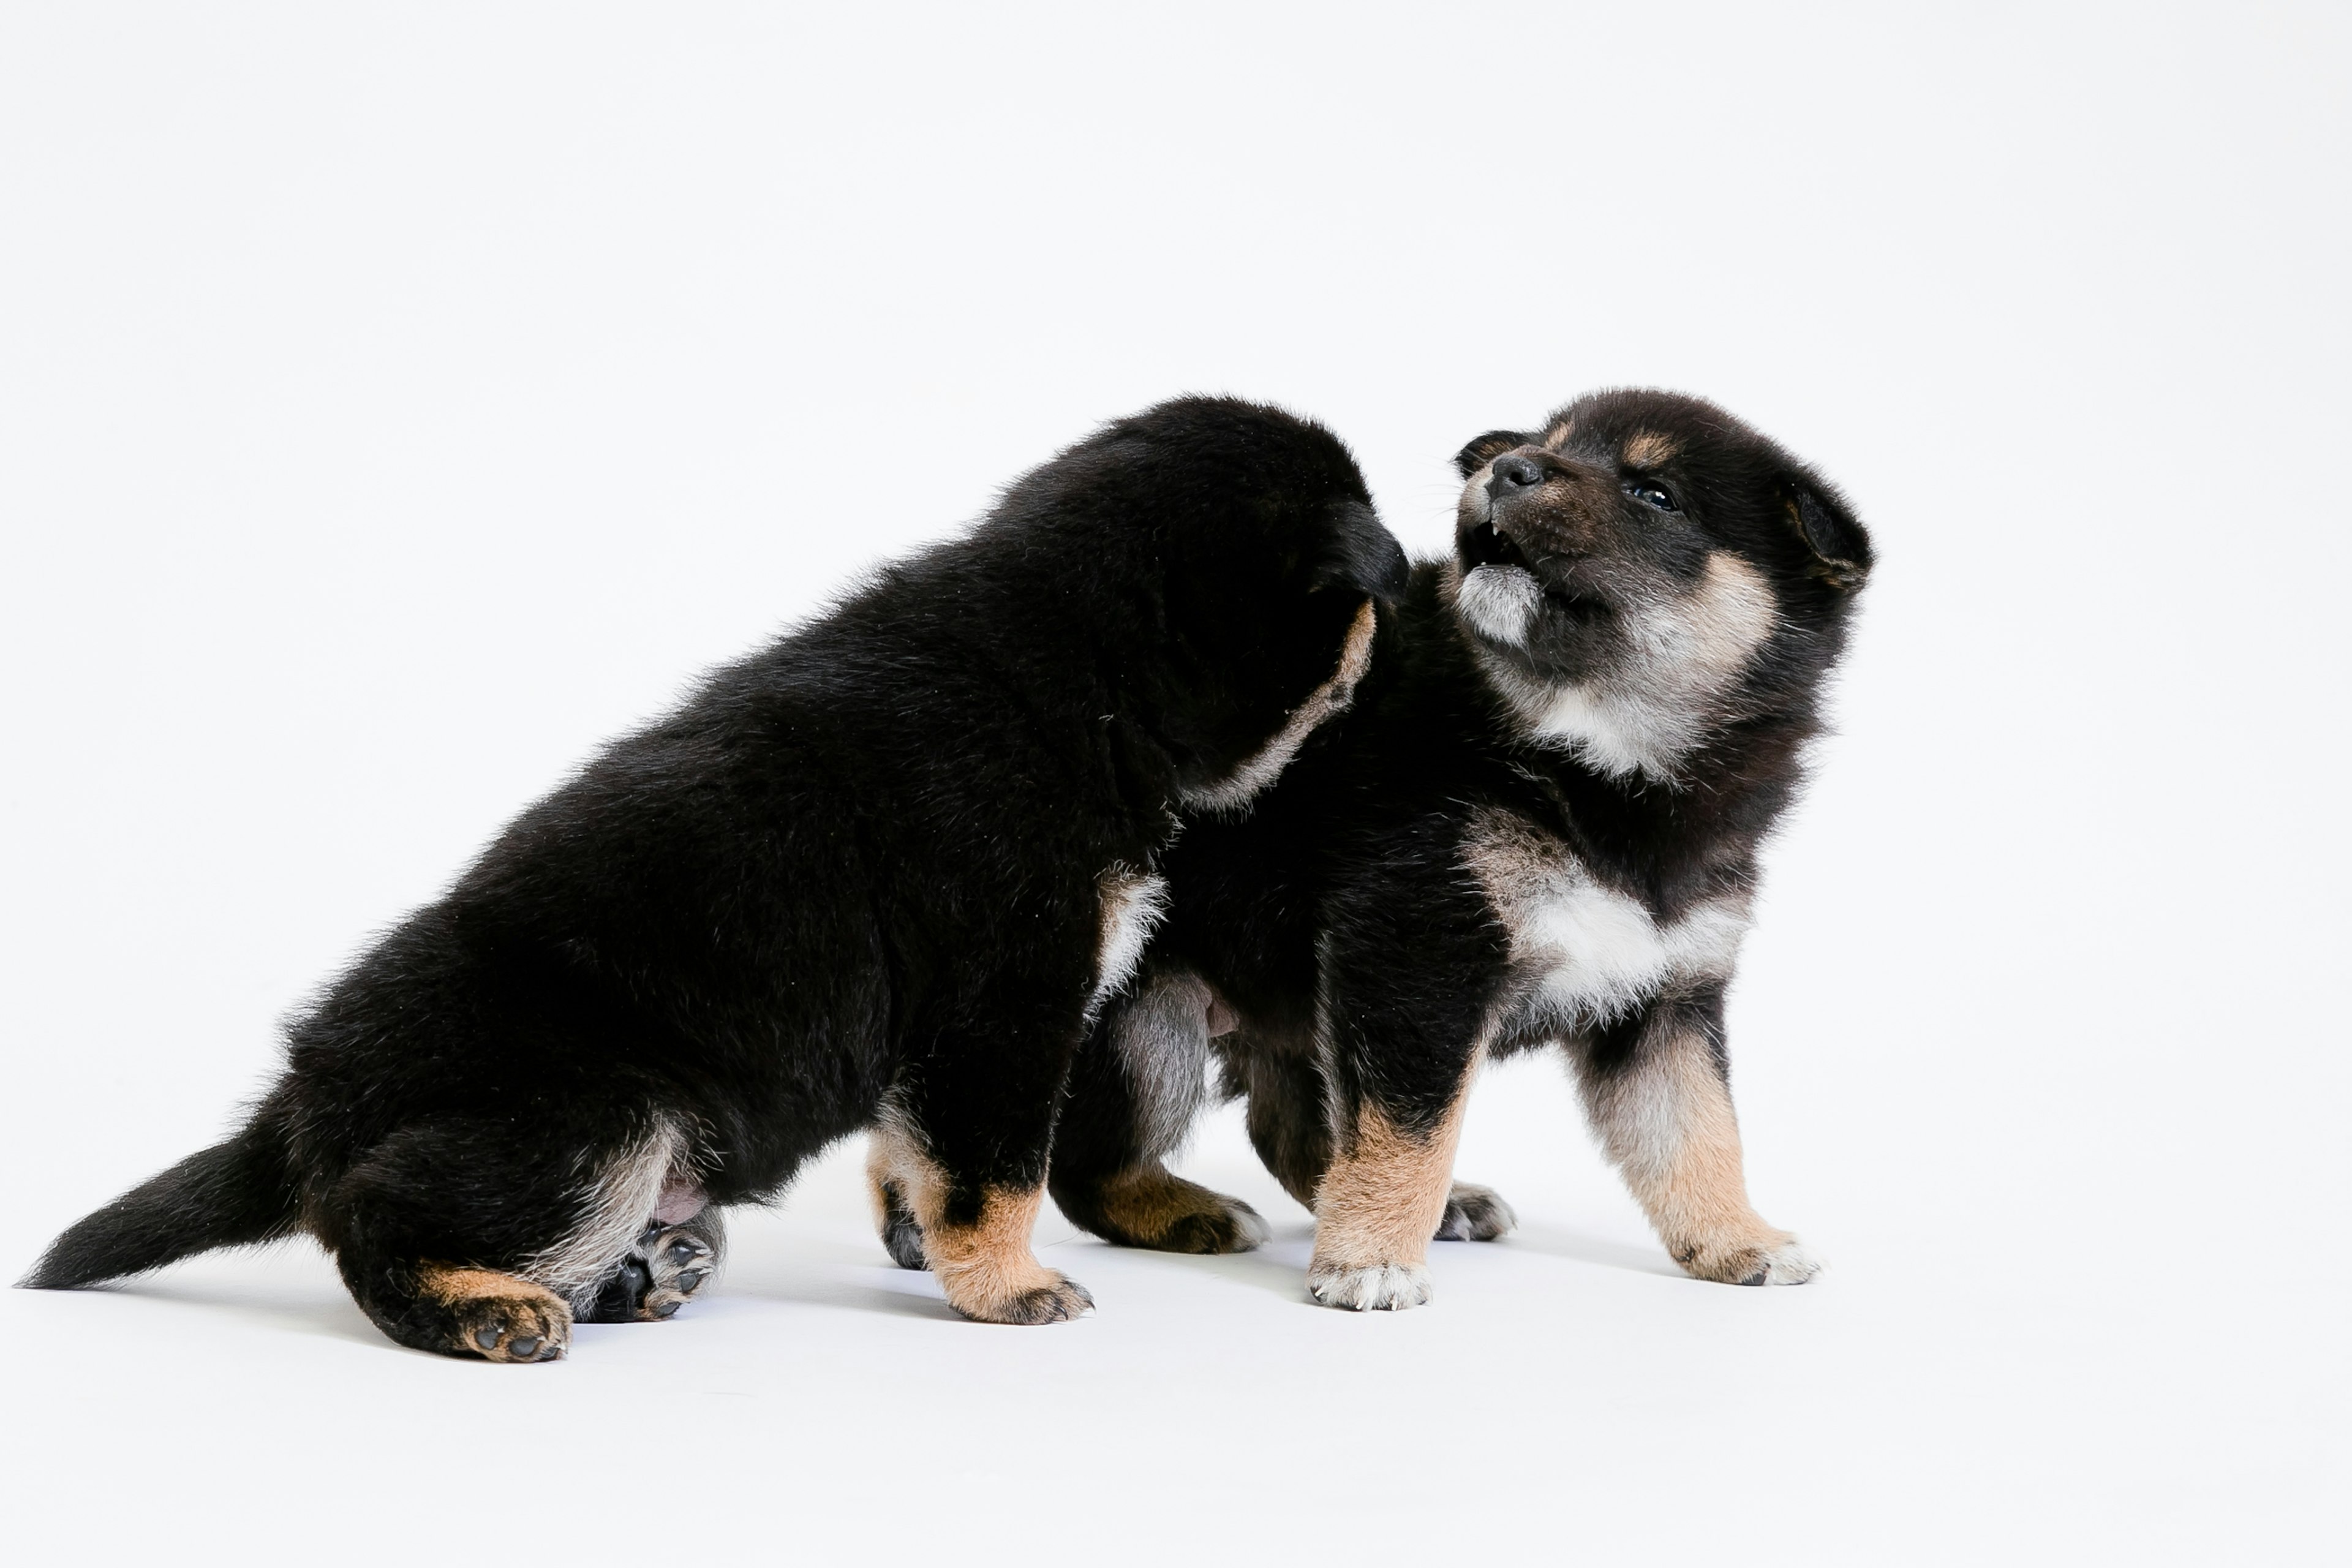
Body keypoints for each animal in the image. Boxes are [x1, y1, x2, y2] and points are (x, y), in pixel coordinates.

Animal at [28, 399, 1401, 1354]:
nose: (1406, 613)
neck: (1081, 659)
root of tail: (303, 1101)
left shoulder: (948, 1038)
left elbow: (926, 1158)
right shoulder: (1002, 1010)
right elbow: (996, 1175)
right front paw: (1010, 1289)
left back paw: (642, 1275)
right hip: (597, 1119)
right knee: (372, 1211)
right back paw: (484, 1308)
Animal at [1049, 390, 1872, 1316]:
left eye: (1655, 494)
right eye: (1542, 447)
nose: (1508, 469)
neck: (1596, 765)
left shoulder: (1667, 991)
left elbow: (1697, 1129)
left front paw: (1740, 1240)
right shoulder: (1419, 946)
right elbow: (1413, 1124)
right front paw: (1371, 1260)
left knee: (1288, 1128)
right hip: (1153, 1023)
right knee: (1088, 1161)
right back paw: (1189, 1210)